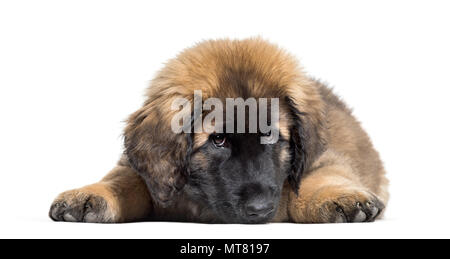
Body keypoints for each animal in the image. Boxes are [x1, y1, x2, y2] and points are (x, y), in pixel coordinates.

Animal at [48, 39, 386, 225]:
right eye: (218, 140)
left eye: (273, 137)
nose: (260, 209)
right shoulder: (146, 173)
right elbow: (121, 182)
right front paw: (90, 194)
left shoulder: (323, 159)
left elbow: (318, 179)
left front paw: (339, 197)